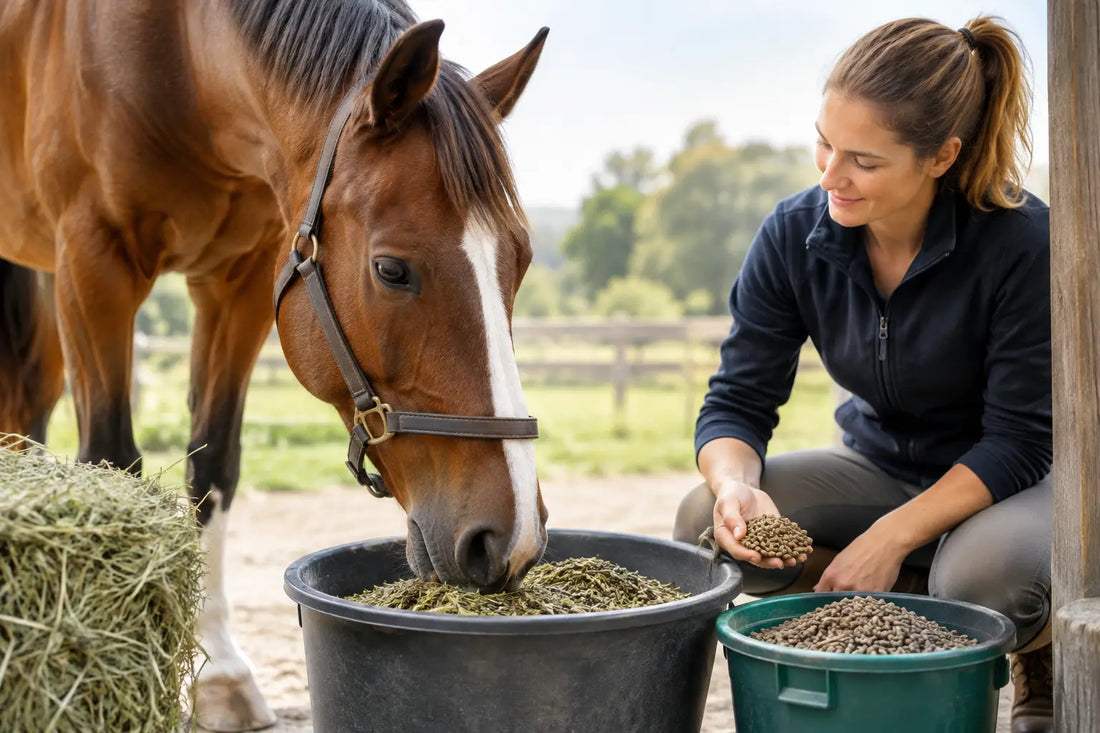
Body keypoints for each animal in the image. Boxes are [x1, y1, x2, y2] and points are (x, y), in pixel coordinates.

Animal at [0, 1, 549, 729]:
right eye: (391, 270)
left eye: (520, 259)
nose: (511, 540)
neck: (178, 56)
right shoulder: (93, 261)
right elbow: (112, 462)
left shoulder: (240, 282)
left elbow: (212, 467)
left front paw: (220, 677)